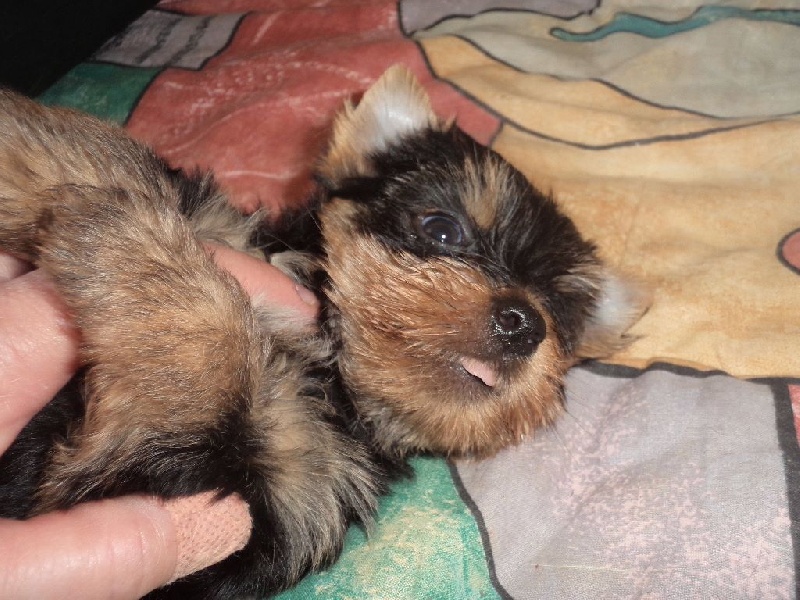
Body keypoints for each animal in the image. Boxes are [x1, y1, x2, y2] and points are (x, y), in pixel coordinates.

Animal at [0, 66, 645, 598]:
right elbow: (102, 163)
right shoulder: (220, 228)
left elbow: (213, 355)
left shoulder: (275, 495)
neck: (330, 373)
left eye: (557, 319)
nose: (524, 322)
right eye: (442, 229)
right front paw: (37, 148)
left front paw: (113, 237)